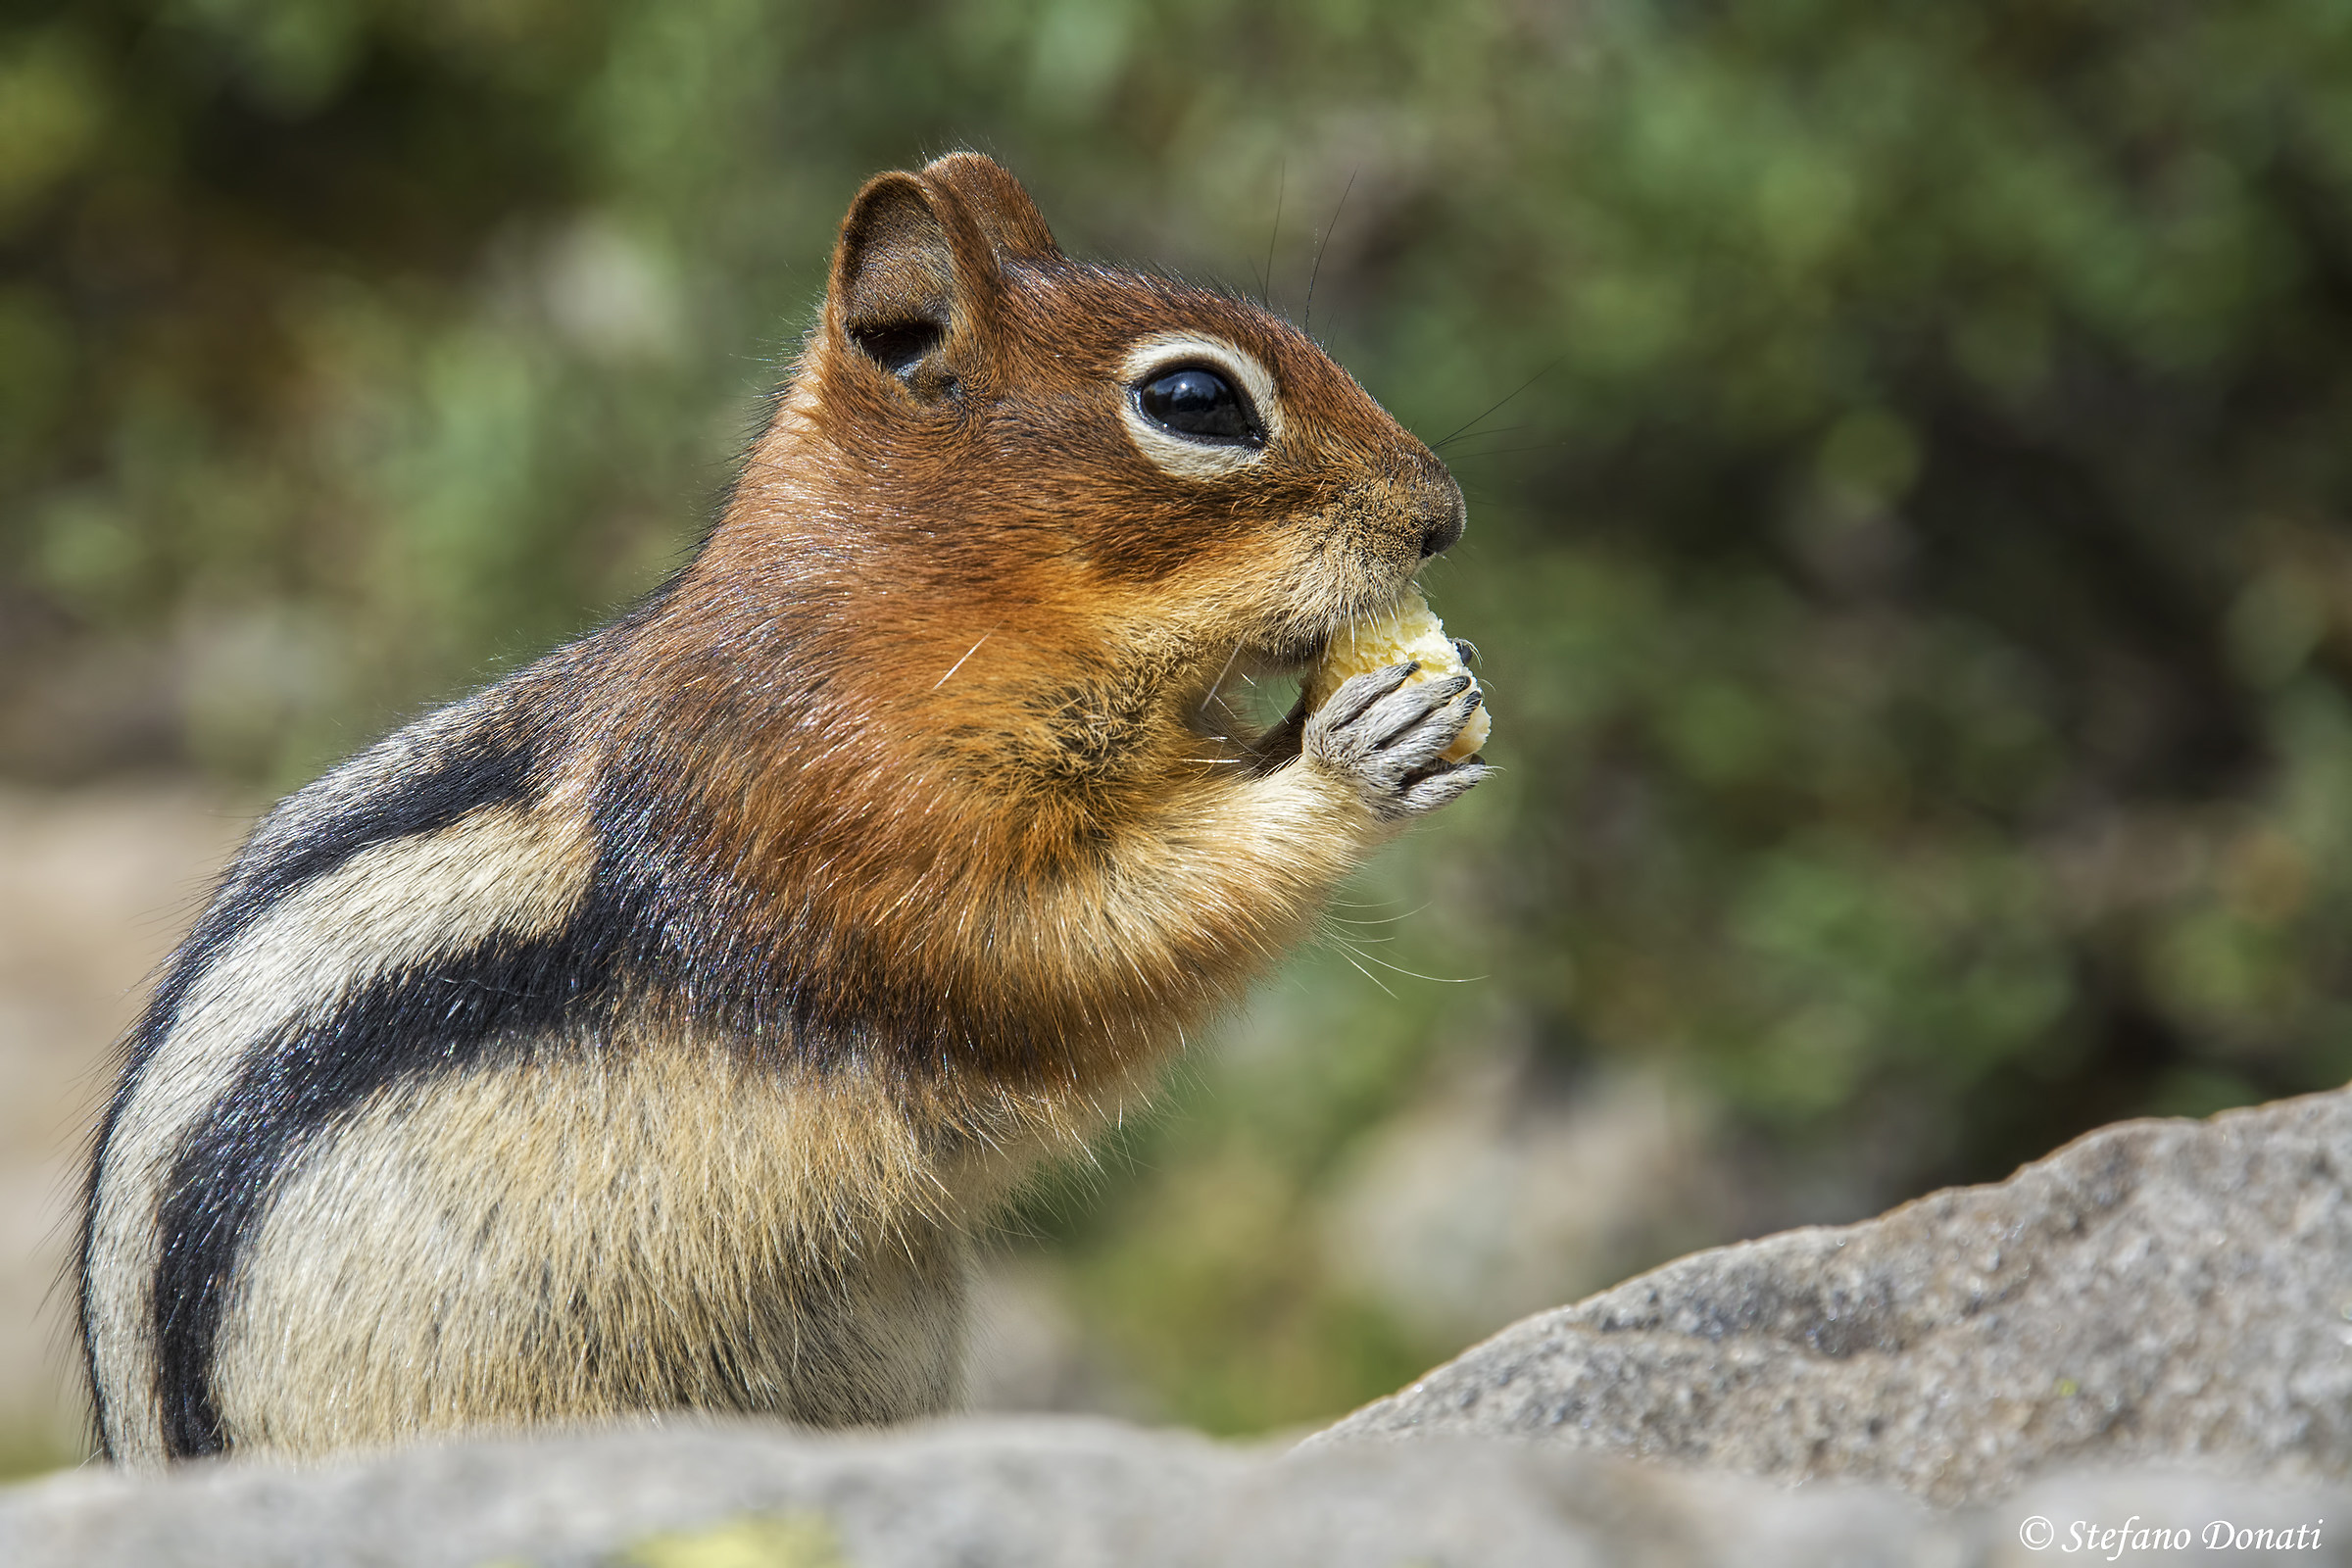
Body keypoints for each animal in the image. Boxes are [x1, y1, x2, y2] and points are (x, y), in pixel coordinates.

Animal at [76, 152, 1488, 1468]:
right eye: (1195, 400)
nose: (1445, 514)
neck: (891, 609)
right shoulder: (850, 822)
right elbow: (1072, 945)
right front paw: (1355, 753)